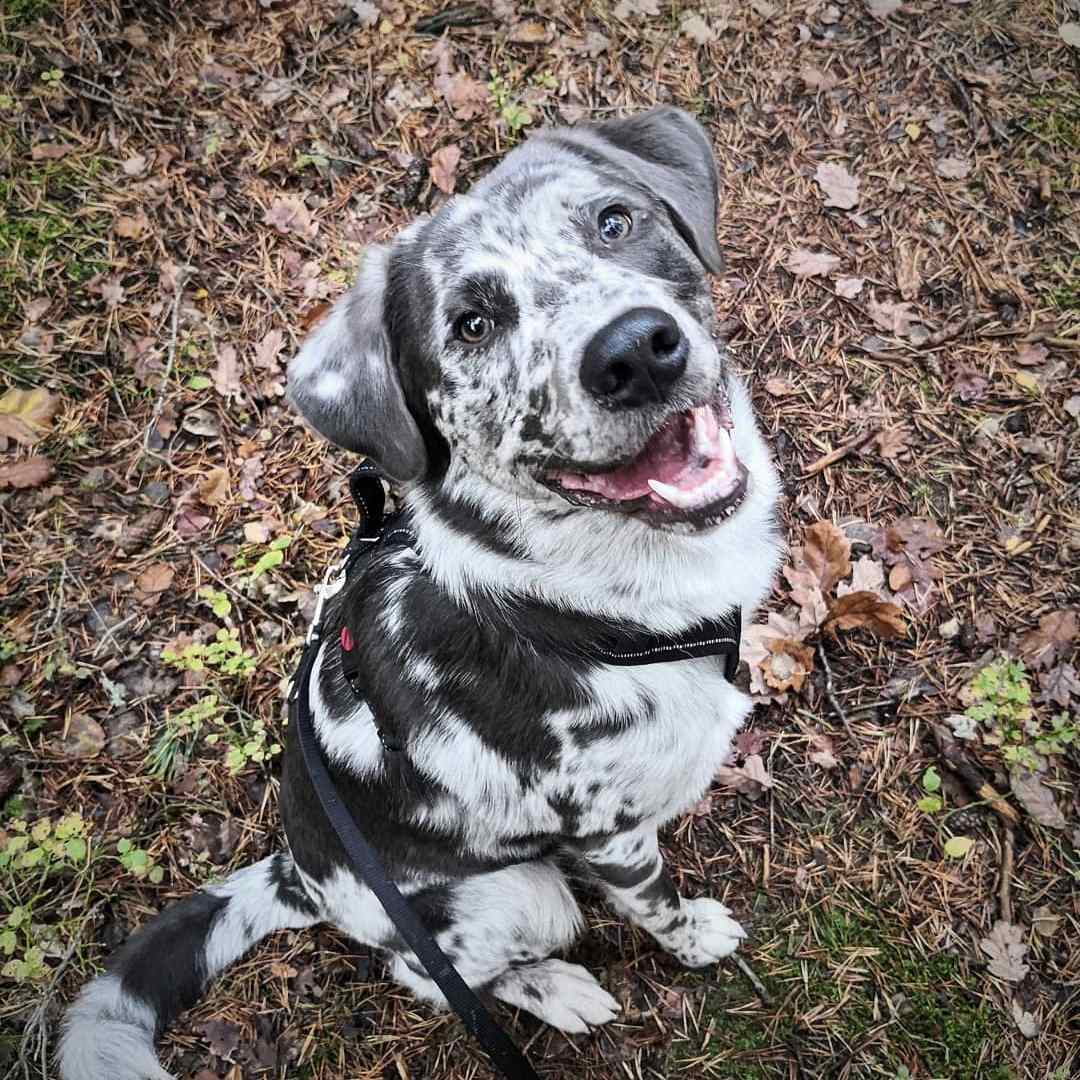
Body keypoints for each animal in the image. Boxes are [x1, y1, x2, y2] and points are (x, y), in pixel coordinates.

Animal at [59, 103, 781, 1080]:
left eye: (614, 222)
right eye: (471, 325)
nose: (636, 350)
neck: (590, 602)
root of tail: (300, 874)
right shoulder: (607, 834)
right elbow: (655, 903)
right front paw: (695, 937)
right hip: (518, 895)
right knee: (435, 976)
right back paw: (558, 989)